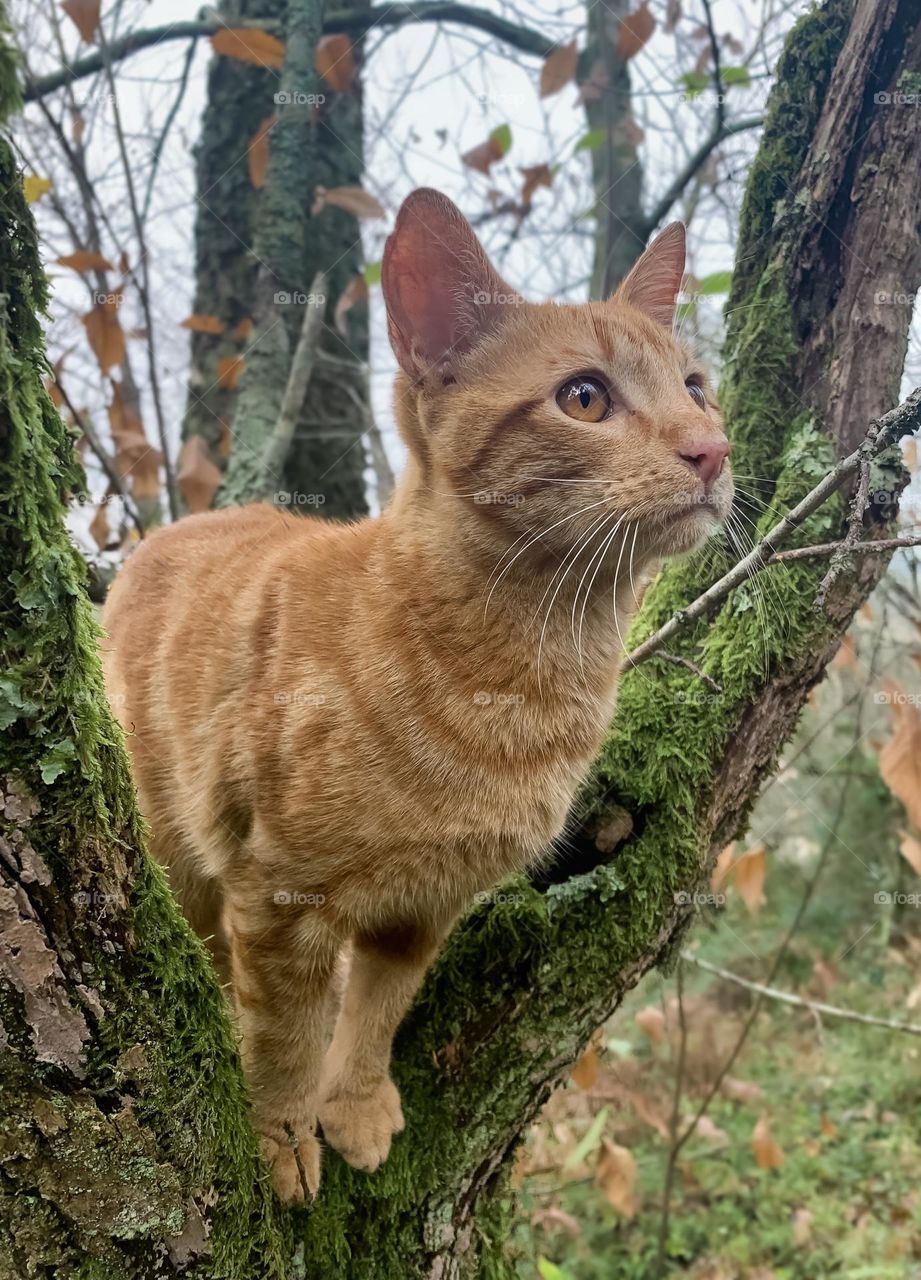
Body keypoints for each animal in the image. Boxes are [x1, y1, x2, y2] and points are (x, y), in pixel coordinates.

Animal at [102, 186, 731, 1198]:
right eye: (584, 397)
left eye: (696, 387)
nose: (712, 450)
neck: (519, 688)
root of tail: (166, 532)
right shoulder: (279, 899)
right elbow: (283, 1031)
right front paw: (281, 1131)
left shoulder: (423, 910)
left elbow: (376, 1011)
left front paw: (354, 1104)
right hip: (177, 847)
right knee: (206, 949)